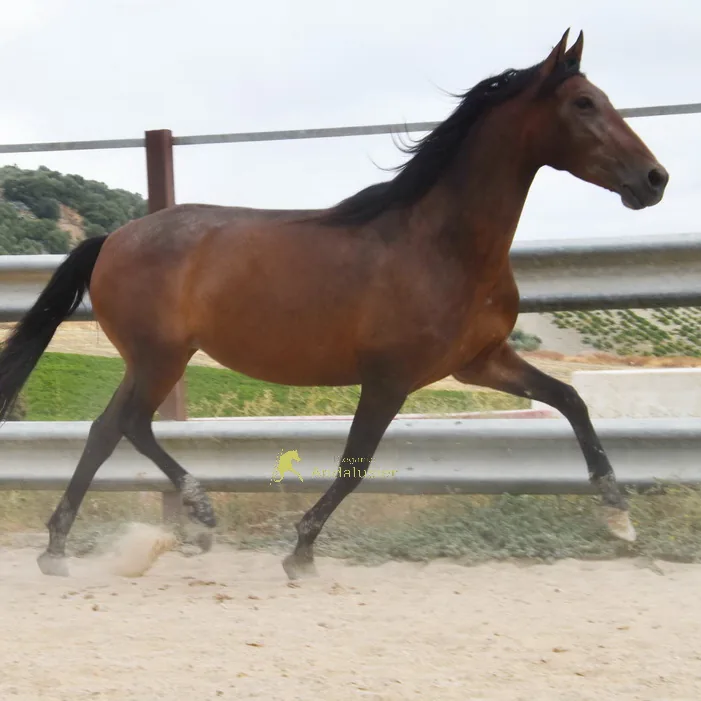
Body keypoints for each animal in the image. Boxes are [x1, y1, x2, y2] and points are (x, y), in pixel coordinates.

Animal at [0, 29, 668, 579]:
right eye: (583, 104)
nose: (655, 179)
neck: (443, 246)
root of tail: (112, 238)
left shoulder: (480, 362)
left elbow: (571, 399)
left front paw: (620, 518)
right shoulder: (390, 378)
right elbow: (357, 462)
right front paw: (301, 551)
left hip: (150, 359)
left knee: (105, 429)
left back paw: (59, 547)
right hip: (162, 357)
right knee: (131, 424)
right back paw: (199, 512)